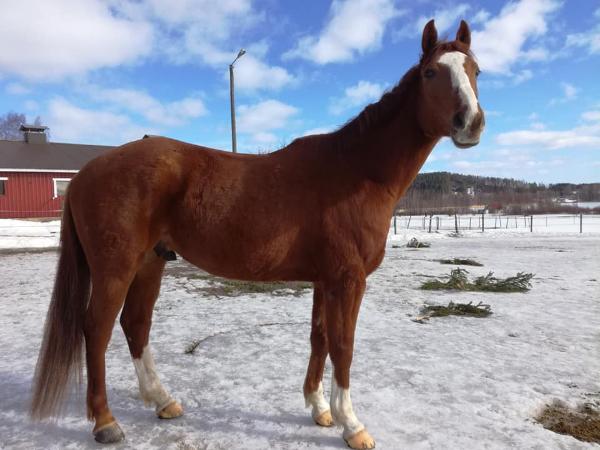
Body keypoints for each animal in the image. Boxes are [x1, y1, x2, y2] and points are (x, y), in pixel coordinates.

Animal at [30, 19, 484, 449]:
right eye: (430, 72)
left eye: (475, 70)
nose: (472, 123)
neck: (356, 171)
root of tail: (88, 171)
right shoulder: (348, 280)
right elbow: (344, 346)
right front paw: (352, 425)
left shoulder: (325, 279)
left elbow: (319, 339)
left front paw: (319, 409)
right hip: (115, 269)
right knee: (97, 330)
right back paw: (106, 423)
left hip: (149, 263)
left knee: (135, 324)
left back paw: (163, 401)